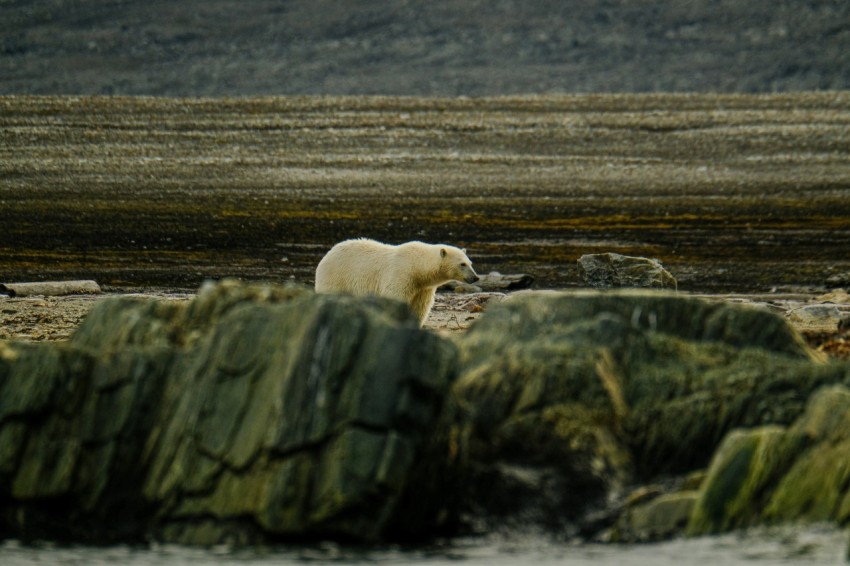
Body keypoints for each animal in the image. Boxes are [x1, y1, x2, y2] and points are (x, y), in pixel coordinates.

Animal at [314, 238, 479, 326]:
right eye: (462, 264)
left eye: (470, 263)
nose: (475, 277)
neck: (417, 266)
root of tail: (328, 253)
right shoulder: (401, 274)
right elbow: (395, 298)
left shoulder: (422, 287)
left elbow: (420, 306)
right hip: (336, 276)